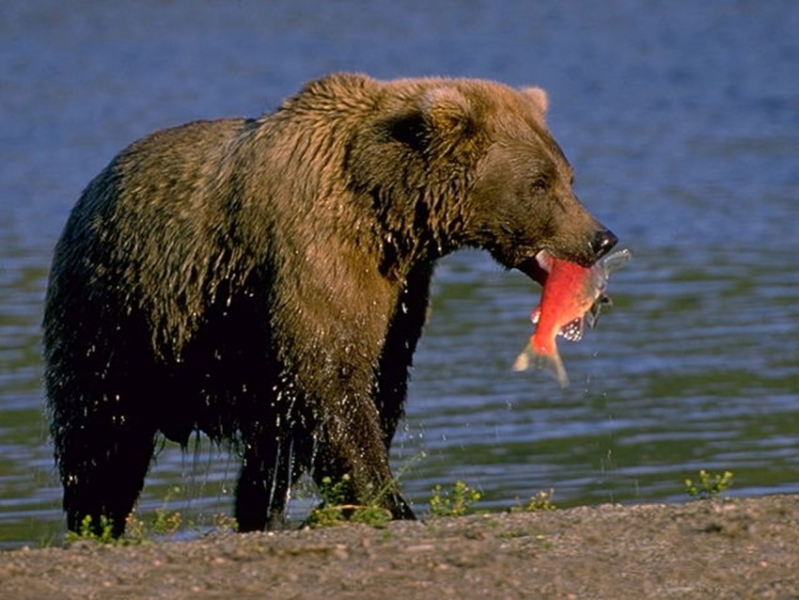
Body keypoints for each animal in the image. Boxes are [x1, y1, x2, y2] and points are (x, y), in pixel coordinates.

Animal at [42, 72, 620, 536]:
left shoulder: (400, 286)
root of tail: (93, 187)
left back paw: (258, 513)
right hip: (116, 317)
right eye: (539, 182)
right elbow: (332, 377)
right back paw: (98, 523)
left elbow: (376, 379)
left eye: (568, 176)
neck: (387, 210)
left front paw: (346, 501)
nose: (601, 237)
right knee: (101, 436)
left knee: (266, 446)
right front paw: (390, 502)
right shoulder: (316, 250)